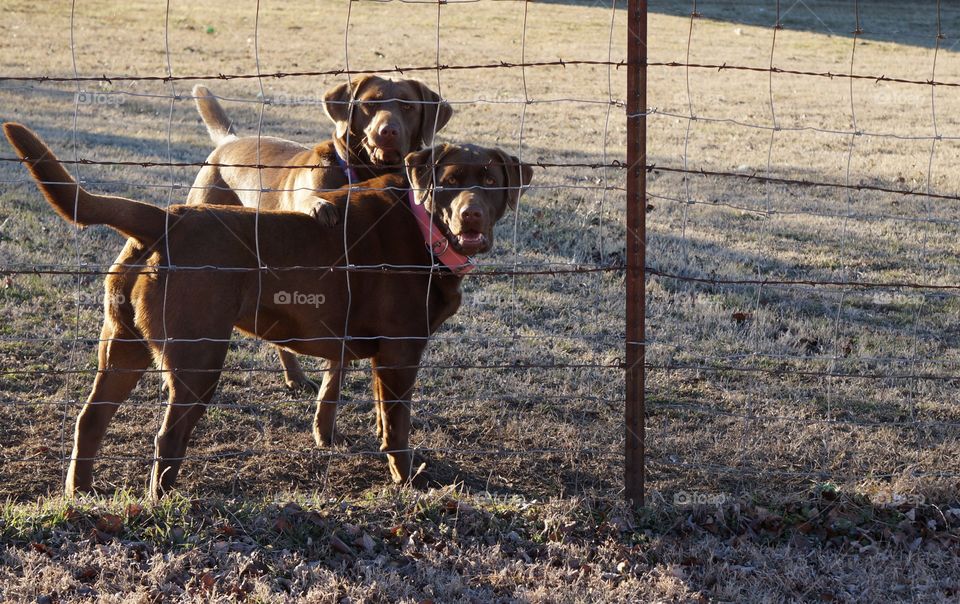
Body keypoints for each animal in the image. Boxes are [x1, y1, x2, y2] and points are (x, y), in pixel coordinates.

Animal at [5, 120, 532, 498]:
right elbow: (399, 429)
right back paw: (165, 500)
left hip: (124, 344)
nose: (471, 215)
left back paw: (81, 493)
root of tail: (165, 218)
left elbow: (383, 417)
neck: (423, 224)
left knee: (90, 419)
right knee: (167, 439)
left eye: (489, 180)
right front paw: (407, 482)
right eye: (449, 183)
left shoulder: (383, 357)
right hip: (198, 359)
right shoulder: (401, 353)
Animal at [190, 76, 454, 392]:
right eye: (370, 103)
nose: (387, 131)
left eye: (407, 106)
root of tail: (230, 141)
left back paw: (296, 376)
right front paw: (320, 206)